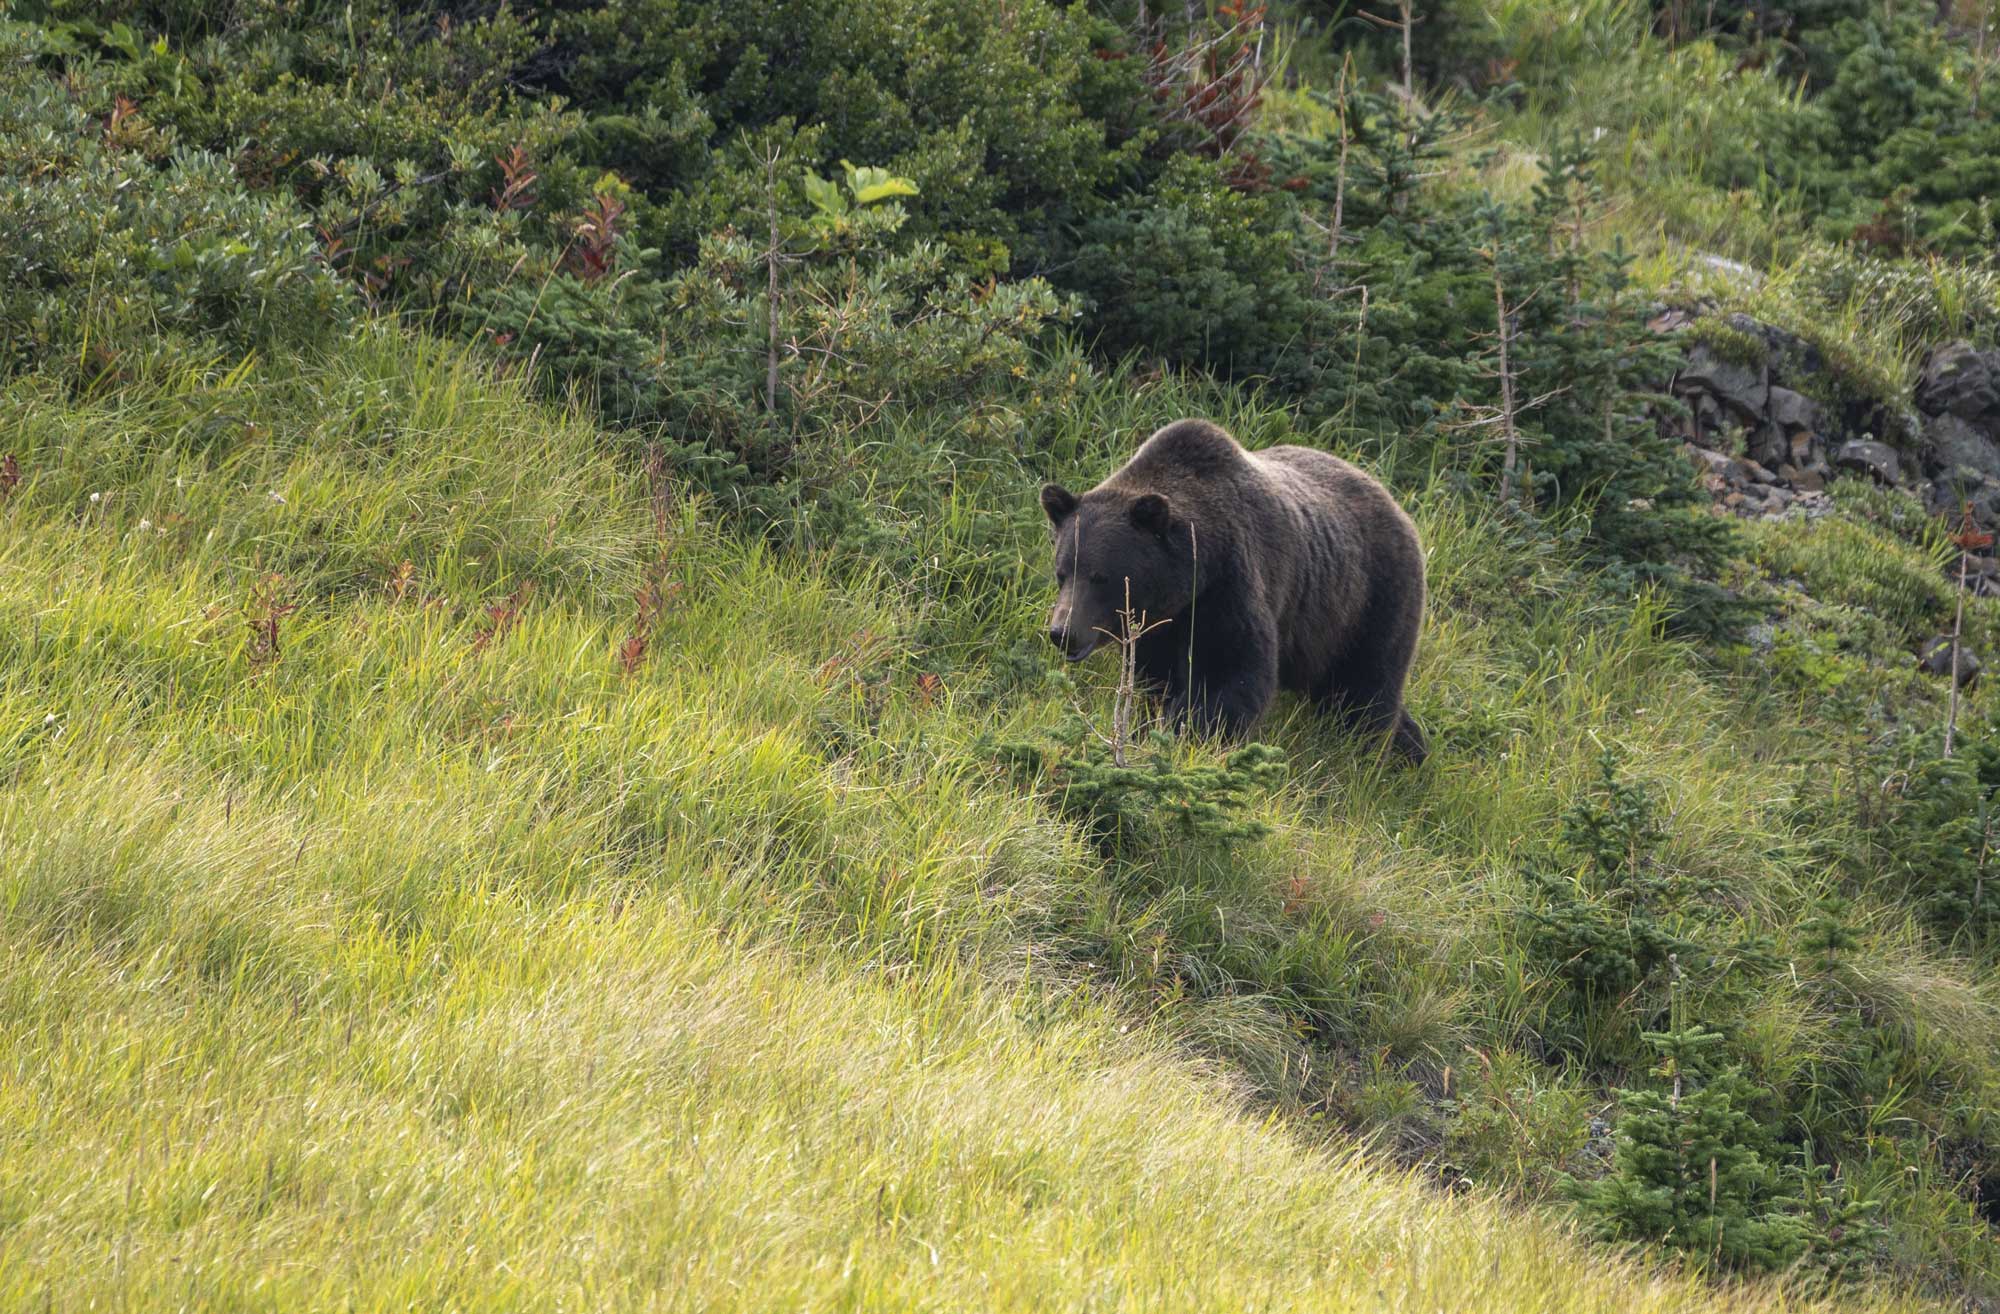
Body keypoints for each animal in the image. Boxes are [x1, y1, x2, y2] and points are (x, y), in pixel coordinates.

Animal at [1040, 418, 1427, 763]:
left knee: (1366, 688)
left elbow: (1228, 672)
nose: (1063, 632)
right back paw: (1411, 748)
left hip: (1370, 602)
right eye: (1062, 573)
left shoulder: (1230, 584)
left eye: (1101, 577)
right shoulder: (1161, 626)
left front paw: (1187, 734)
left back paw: (1367, 753)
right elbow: (1154, 678)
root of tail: (1397, 506)